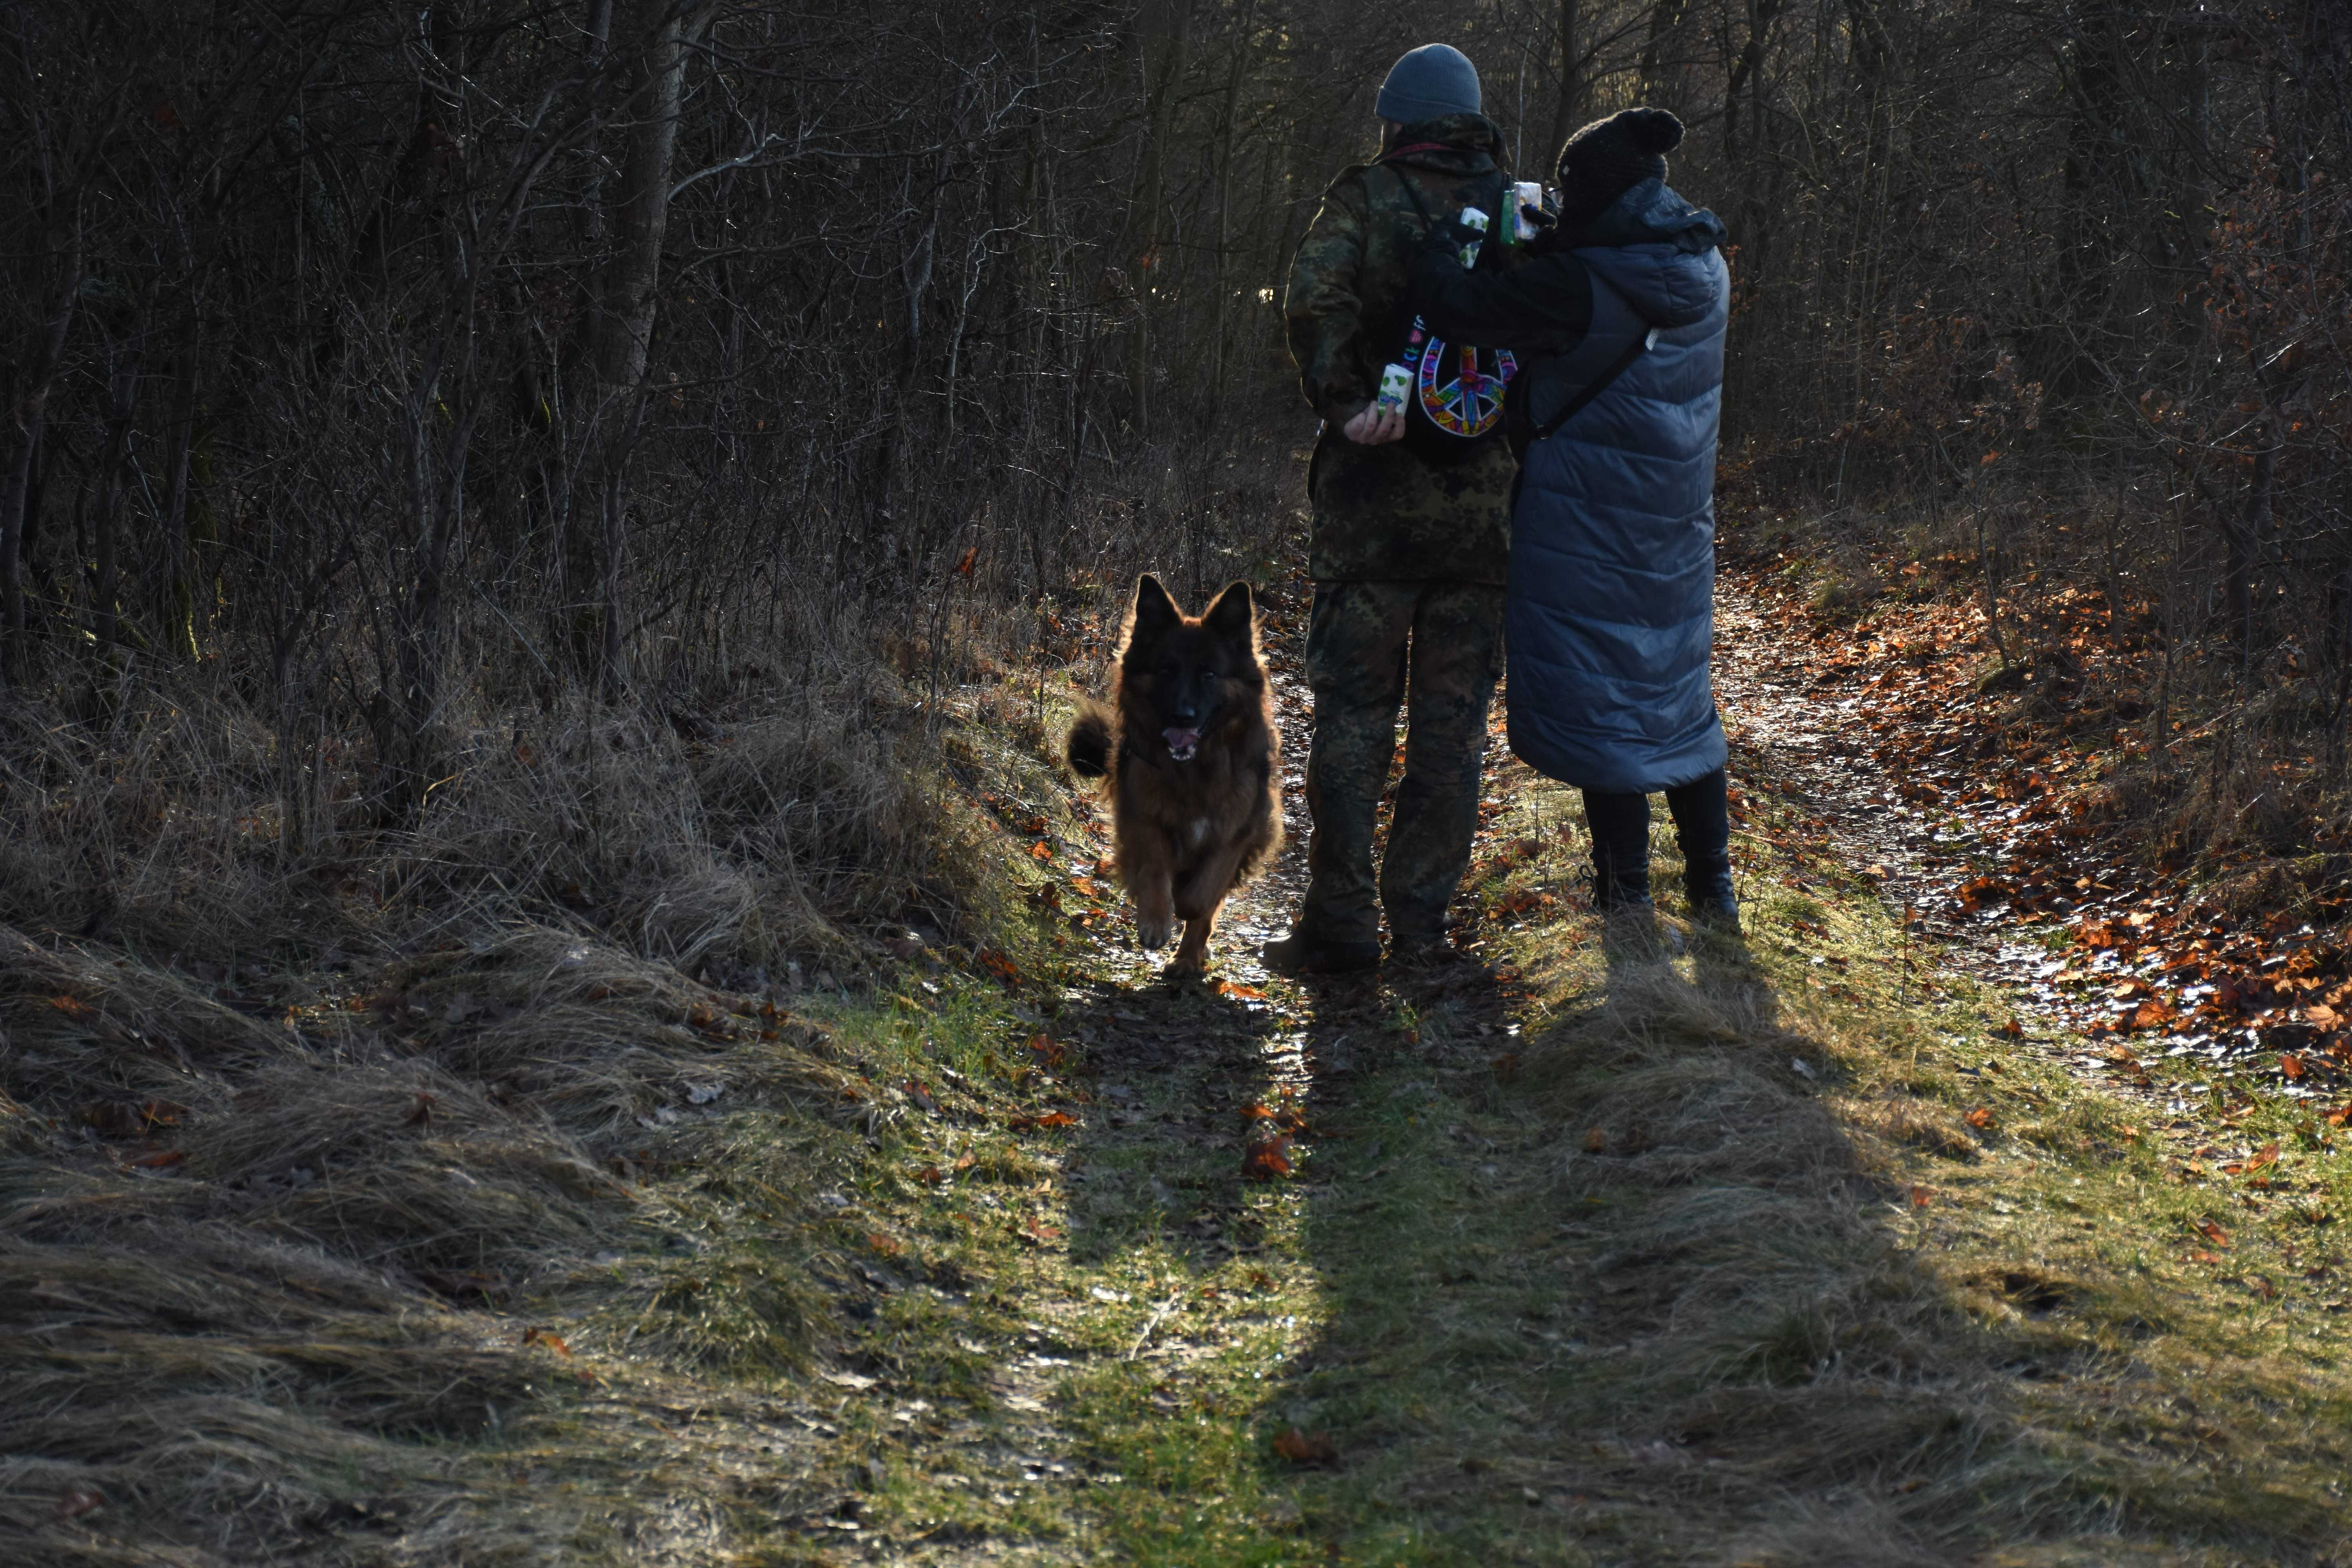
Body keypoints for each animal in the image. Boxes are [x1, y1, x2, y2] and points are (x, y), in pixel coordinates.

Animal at [1073, 571, 1279, 973]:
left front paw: (1187, 922)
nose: (1182, 717)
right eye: (1167, 669)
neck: (1194, 772)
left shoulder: (1236, 833)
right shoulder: (1142, 816)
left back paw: (1188, 958)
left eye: (1209, 674)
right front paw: (1155, 920)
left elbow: (1201, 897)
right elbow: (1155, 868)